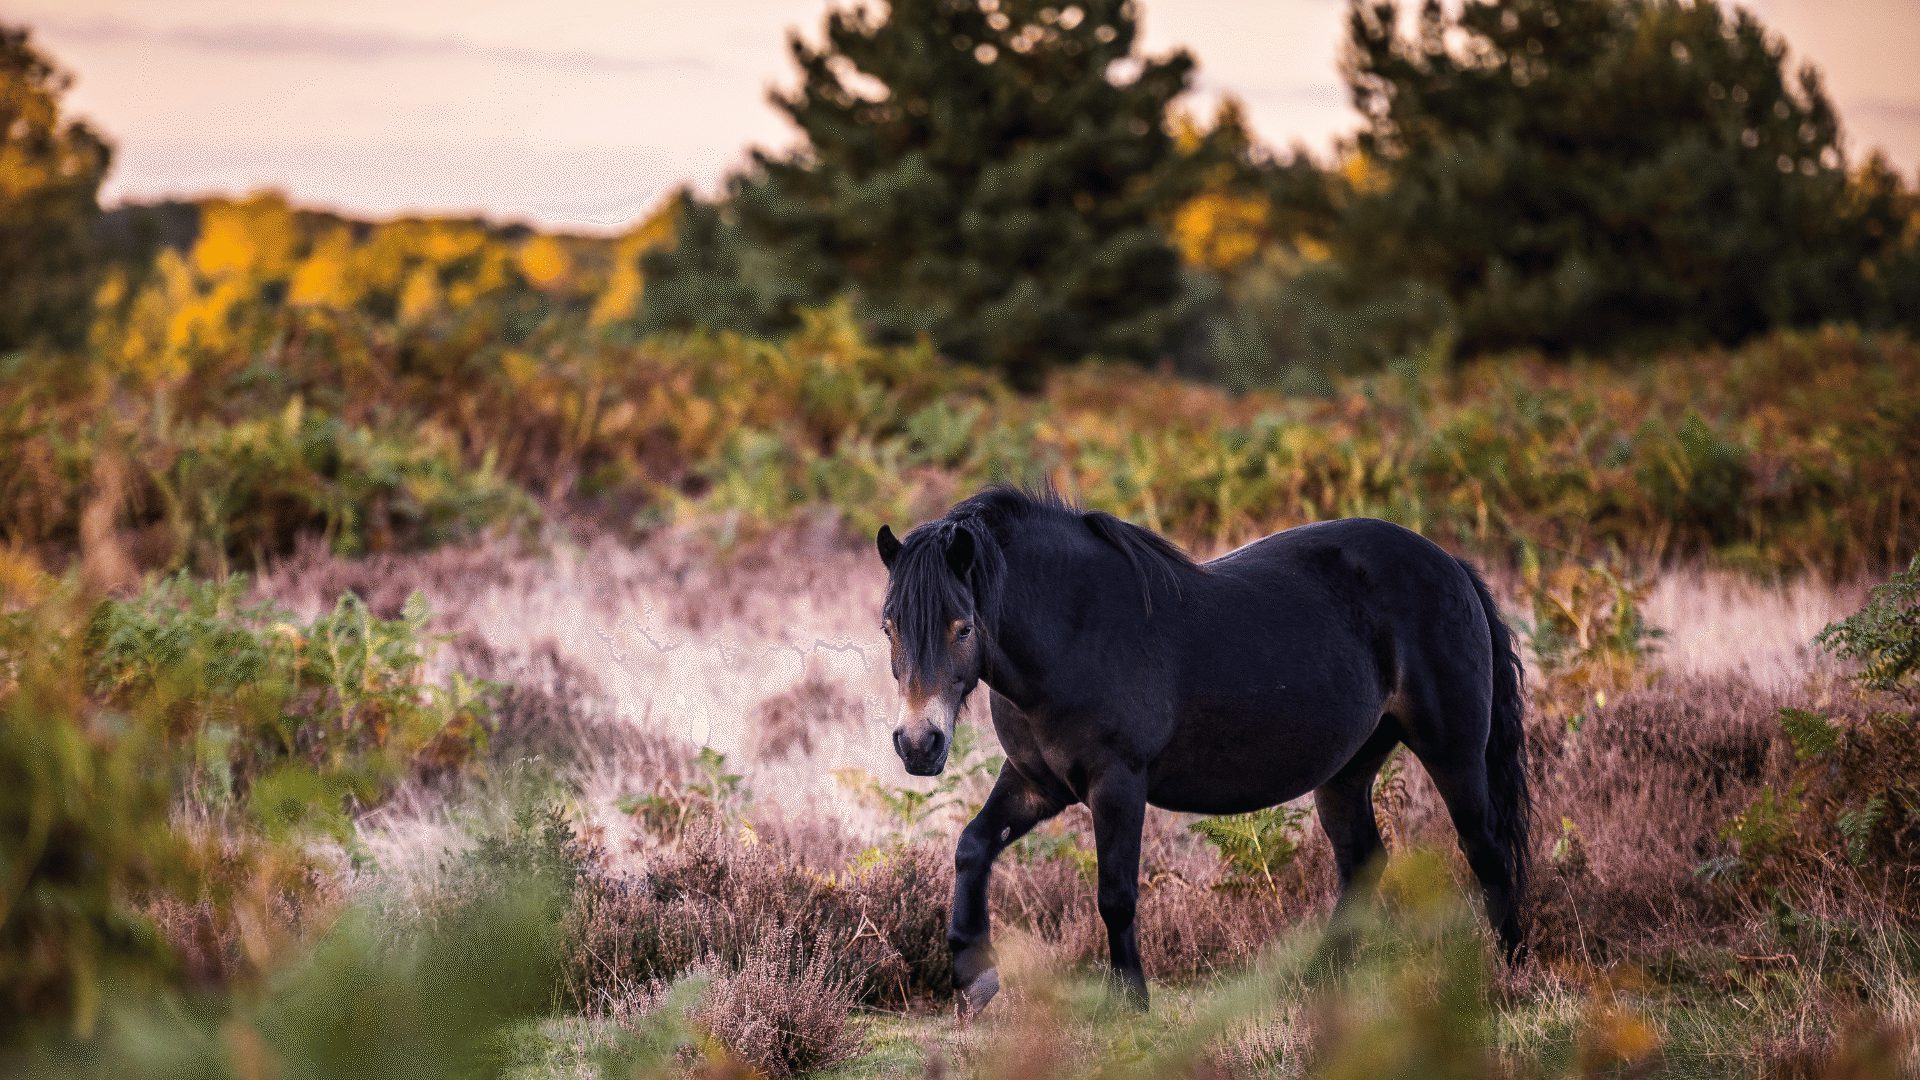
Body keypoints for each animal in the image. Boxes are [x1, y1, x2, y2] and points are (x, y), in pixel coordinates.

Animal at [873, 486, 1531, 1015]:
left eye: (963, 627)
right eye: (890, 628)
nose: (919, 745)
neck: (1075, 634)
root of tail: (1448, 564)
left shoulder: (1117, 784)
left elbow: (1115, 894)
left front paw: (1130, 1004)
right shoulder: (1037, 782)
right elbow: (972, 847)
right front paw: (975, 976)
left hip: (1453, 753)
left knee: (1487, 852)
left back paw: (1508, 977)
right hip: (1347, 771)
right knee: (1363, 863)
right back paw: (1322, 981)